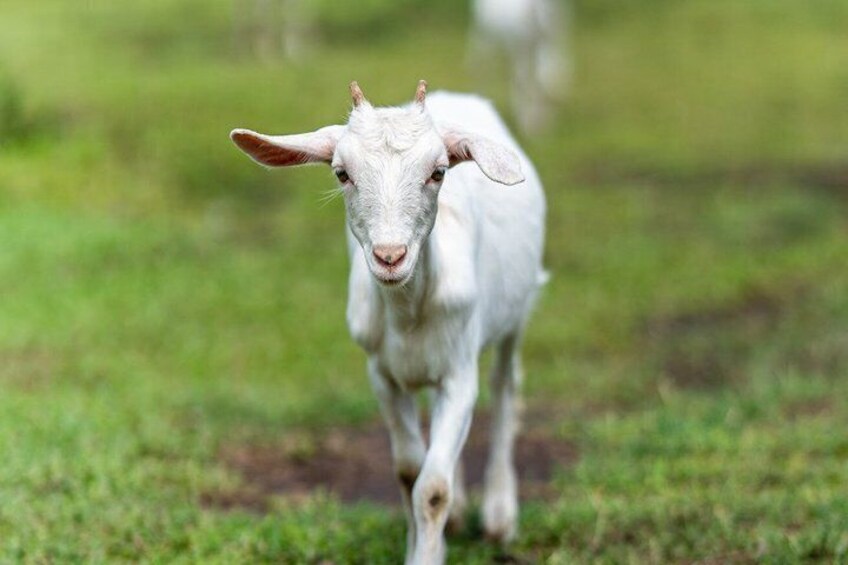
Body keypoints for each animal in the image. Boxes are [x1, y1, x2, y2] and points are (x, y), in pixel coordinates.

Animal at [230, 80, 547, 564]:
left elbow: (432, 489)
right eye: (342, 174)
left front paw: (430, 551)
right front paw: (425, 541)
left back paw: (499, 516)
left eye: (438, 171)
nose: (390, 256)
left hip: (517, 311)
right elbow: (409, 472)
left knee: (505, 384)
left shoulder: (460, 373)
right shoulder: (382, 373)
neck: (408, 314)